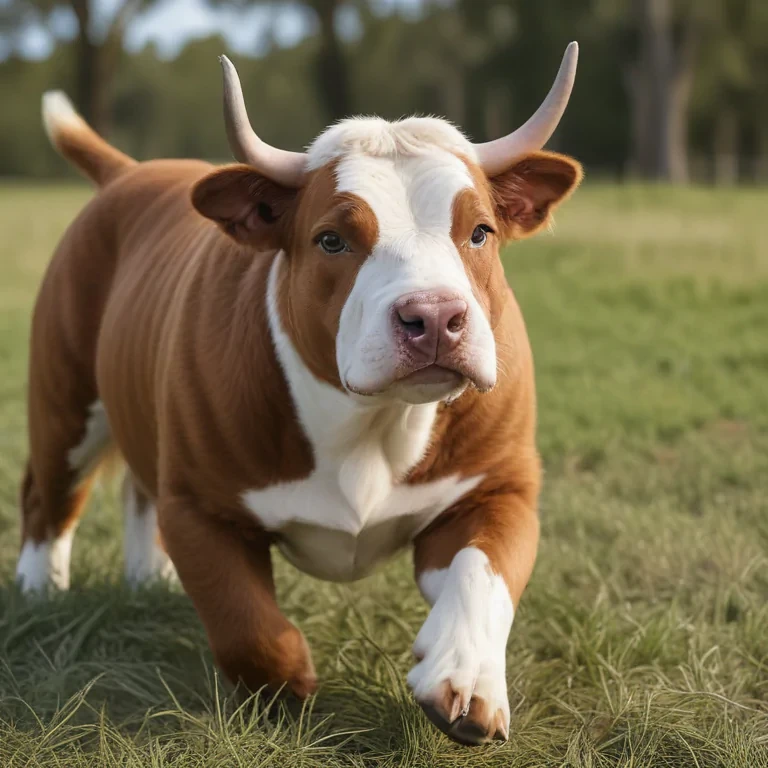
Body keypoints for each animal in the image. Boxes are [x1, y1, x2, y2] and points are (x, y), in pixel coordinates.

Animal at [17, 44, 583, 745]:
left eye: (479, 231)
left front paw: (466, 680)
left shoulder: (498, 485)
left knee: (135, 487)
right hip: (63, 400)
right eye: (332, 239)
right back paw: (40, 592)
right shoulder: (200, 505)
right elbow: (247, 625)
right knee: (48, 495)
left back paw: (148, 580)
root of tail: (130, 174)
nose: (434, 318)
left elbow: (484, 577)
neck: (371, 422)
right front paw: (292, 688)